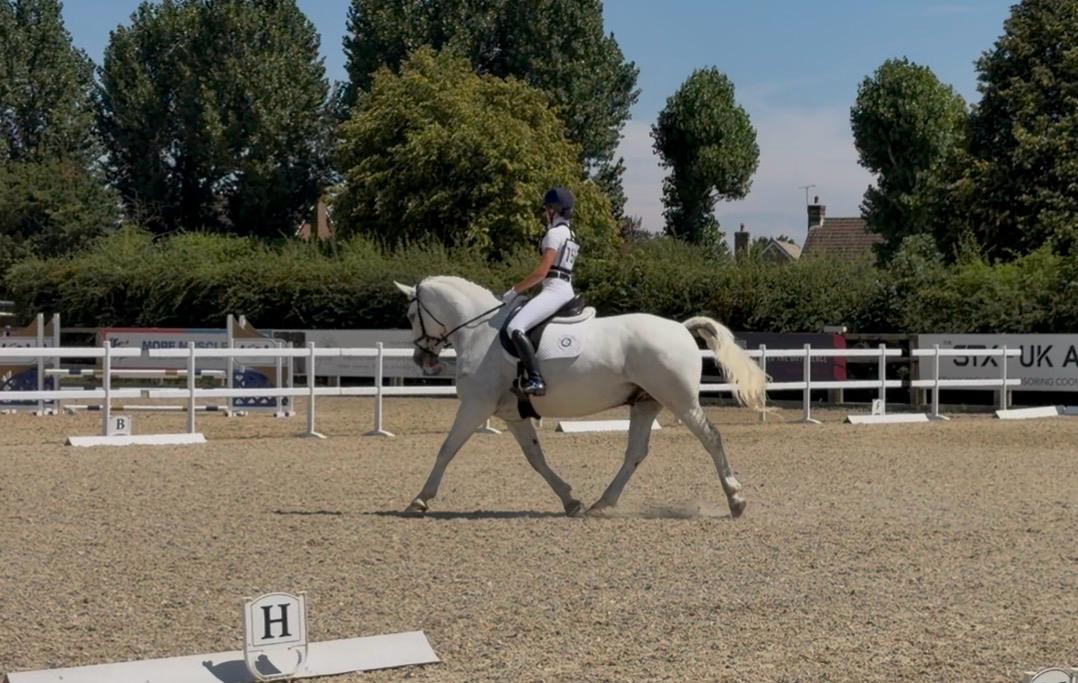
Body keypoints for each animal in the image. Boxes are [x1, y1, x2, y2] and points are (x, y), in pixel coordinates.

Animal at [393, 276, 767, 518]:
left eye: (412, 315)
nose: (423, 360)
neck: (479, 333)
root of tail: (681, 327)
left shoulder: (475, 406)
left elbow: (446, 449)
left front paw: (420, 500)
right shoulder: (514, 415)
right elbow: (536, 459)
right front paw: (570, 501)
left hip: (681, 402)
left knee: (711, 438)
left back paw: (736, 499)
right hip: (646, 403)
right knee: (635, 453)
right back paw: (602, 503)